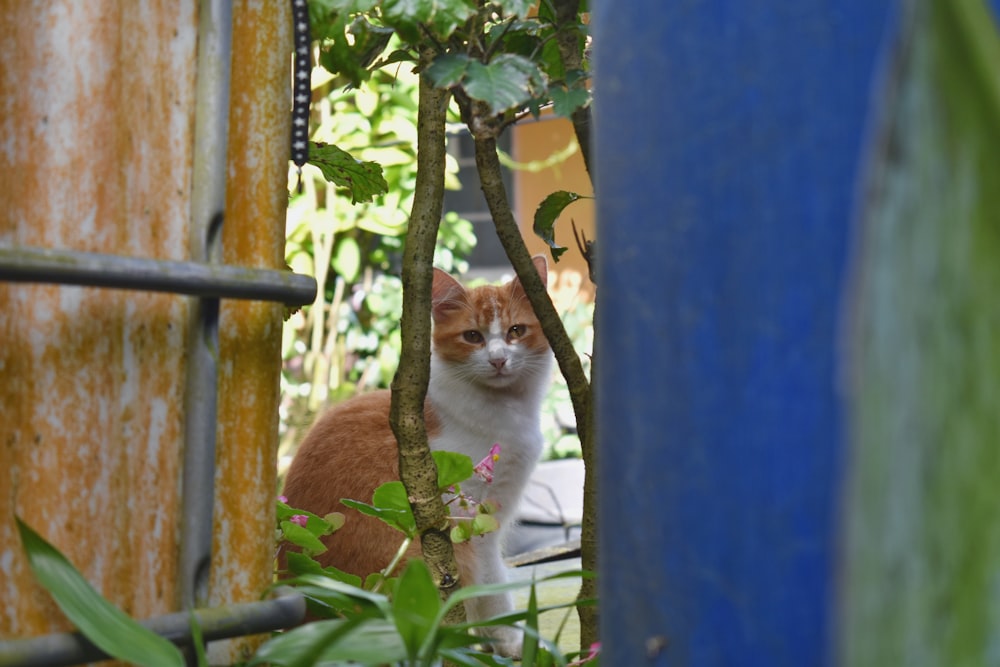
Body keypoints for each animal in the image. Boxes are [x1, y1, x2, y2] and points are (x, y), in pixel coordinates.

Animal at [284, 258, 556, 656]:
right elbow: (492, 587)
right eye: (472, 336)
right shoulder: (473, 521)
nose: (498, 360)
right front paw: (511, 640)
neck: (504, 409)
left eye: (516, 331)